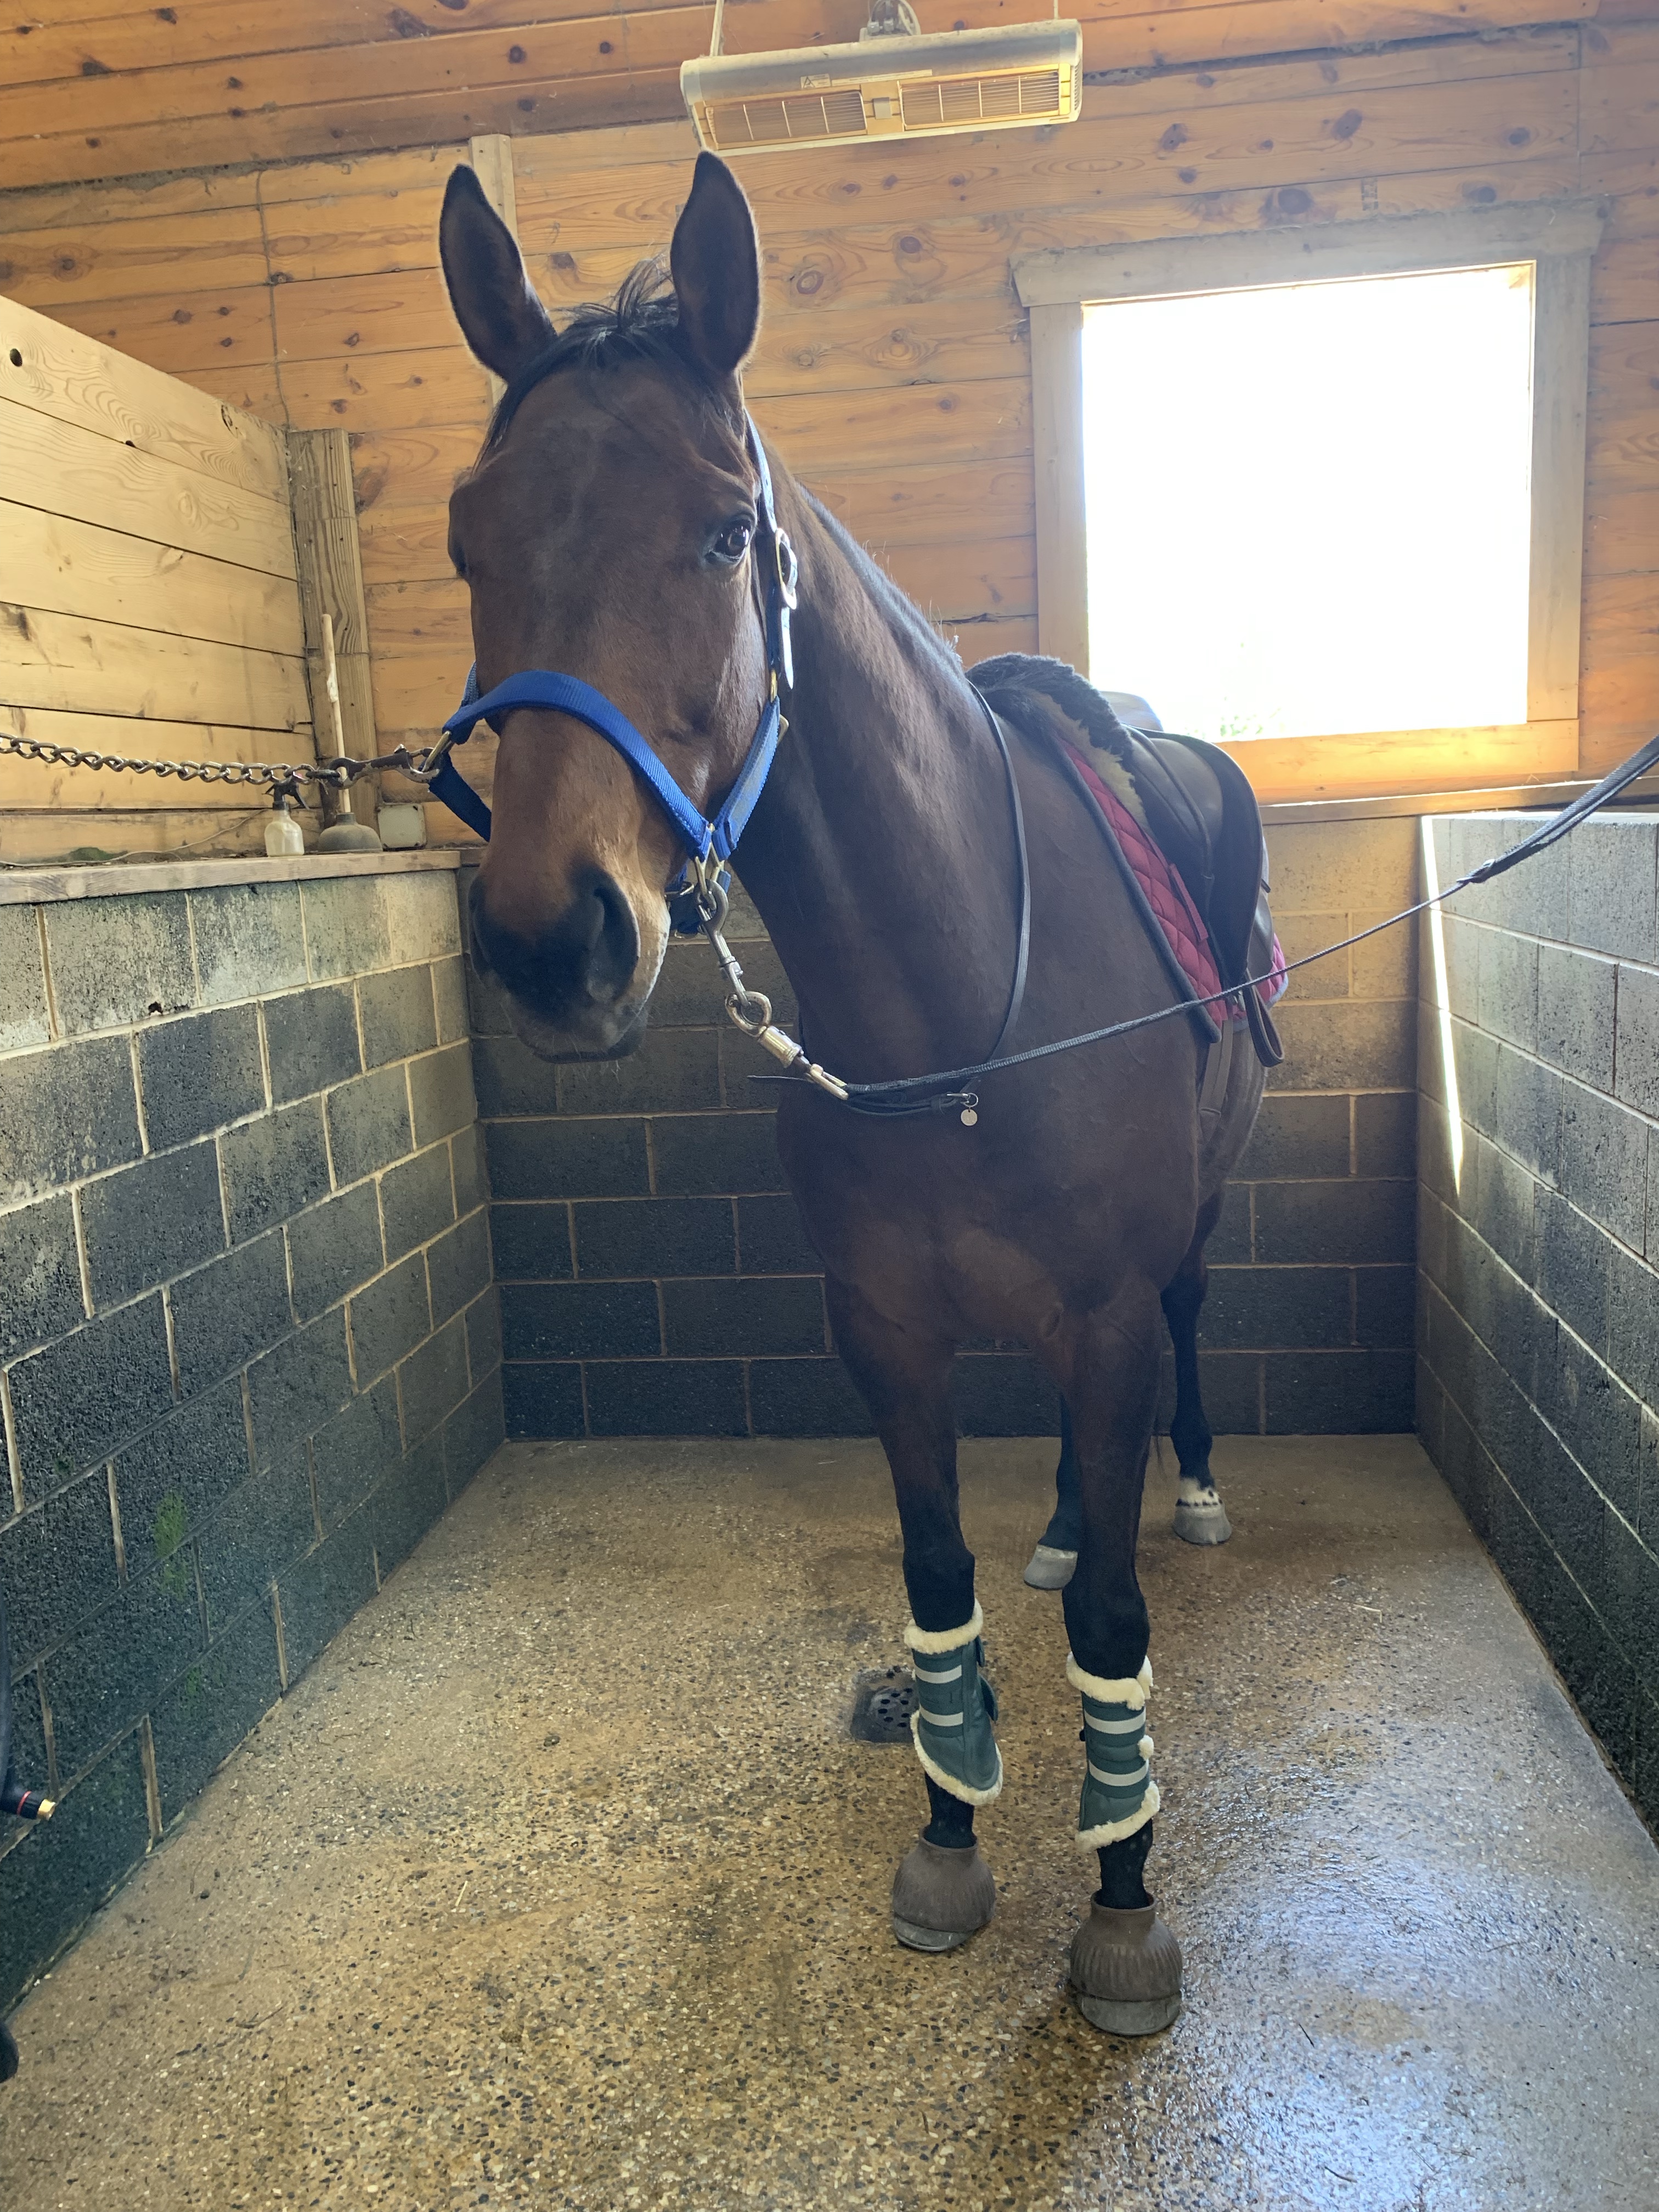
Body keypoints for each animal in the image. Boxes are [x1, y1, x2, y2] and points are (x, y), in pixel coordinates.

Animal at [437, 151, 1267, 2033]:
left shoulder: (1105, 1313)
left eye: (724, 531)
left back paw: (1185, 1486)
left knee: (1188, 1336)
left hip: (1187, 1236)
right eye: (466, 539)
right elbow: (938, 1581)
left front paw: (1123, 1896)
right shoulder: (881, 1328)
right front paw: (952, 1836)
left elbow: (1117, 1626)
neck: (959, 1013)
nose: (550, 939)